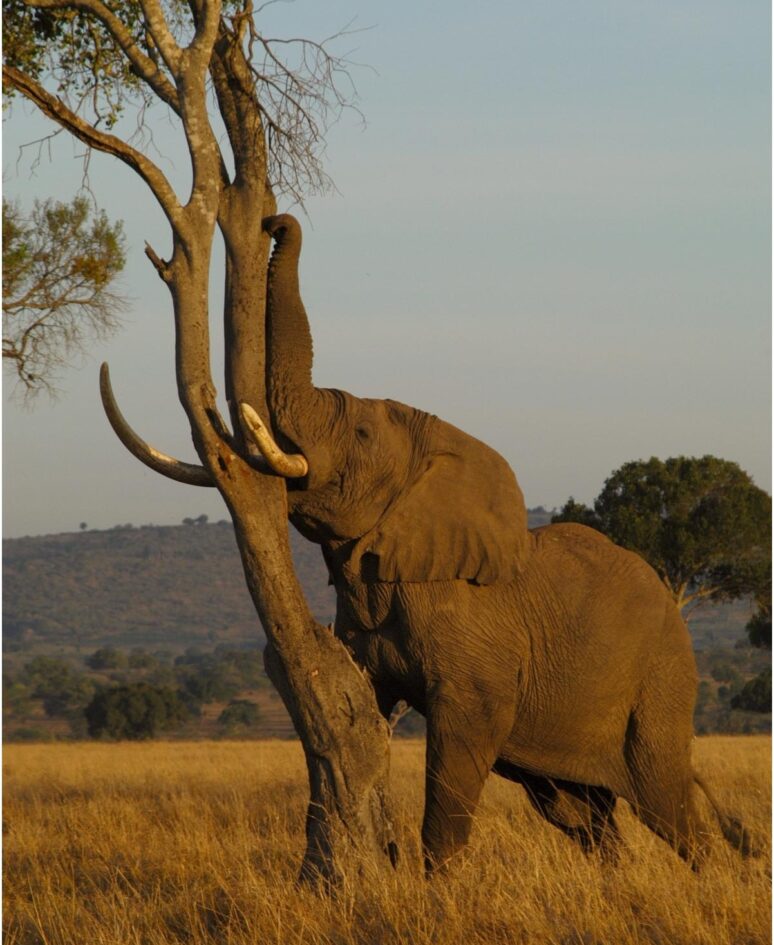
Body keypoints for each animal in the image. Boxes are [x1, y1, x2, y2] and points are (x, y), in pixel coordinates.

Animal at [100, 212, 748, 872]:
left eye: (361, 433)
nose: (276, 221)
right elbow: (362, 707)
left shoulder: (473, 636)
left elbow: (461, 738)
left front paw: (436, 879)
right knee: (578, 812)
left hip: (661, 680)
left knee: (665, 800)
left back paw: (710, 876)